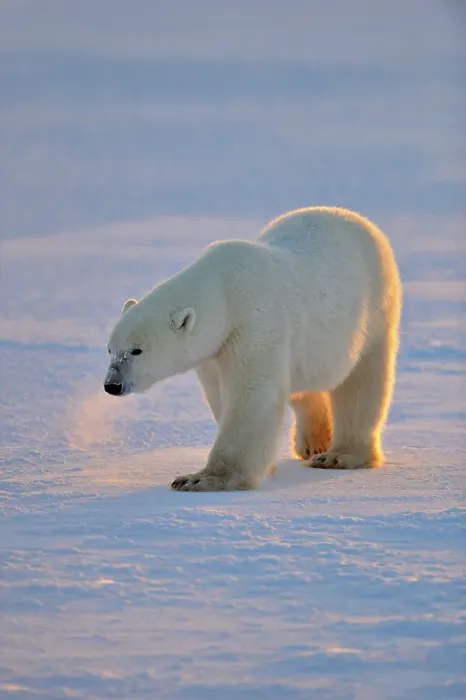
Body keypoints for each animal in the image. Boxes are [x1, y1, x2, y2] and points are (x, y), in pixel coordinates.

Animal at [104, 206, 402, 491]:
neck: (224, 292)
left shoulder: (254, 324)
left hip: (374, 309)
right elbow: (220, 394)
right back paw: (313, 443)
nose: (112, 385)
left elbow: (250, 396)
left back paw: (339, 455)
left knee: (362, 383)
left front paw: (201, 480)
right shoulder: (213, 352)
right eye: (110, 349)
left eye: (137, 351)